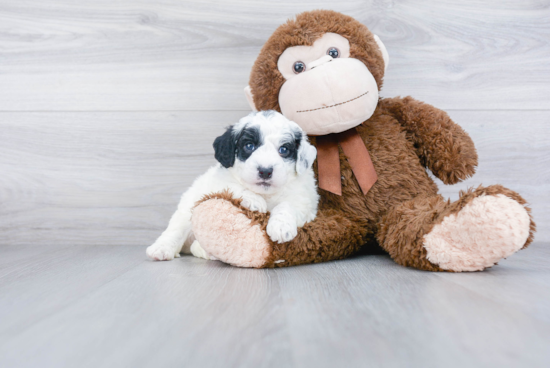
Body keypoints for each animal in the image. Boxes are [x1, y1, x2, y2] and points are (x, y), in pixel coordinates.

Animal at [147, 110, 320, 262]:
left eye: (284, 149)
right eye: (249, 146)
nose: (265, 171)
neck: (265, 194)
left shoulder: (305, 201)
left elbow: (287, 205)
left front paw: (281, 227)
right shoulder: (217, 183)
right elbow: (233, 186)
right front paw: (254, 201)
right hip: (187, 209)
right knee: (175, 230)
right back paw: (161, 249)